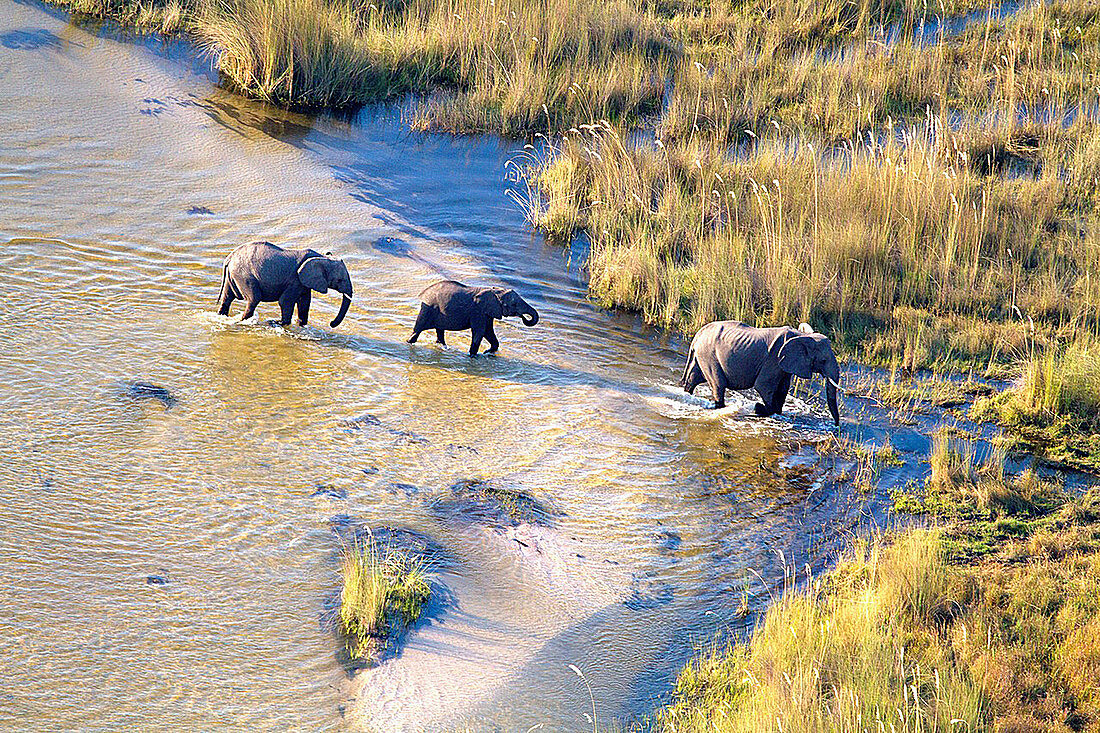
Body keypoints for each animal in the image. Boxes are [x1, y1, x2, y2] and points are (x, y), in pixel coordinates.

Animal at [214, 239, 352, 325]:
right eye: (339, 280)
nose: (331, 323)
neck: (322, 257)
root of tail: (229, 258)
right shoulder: (295, 280)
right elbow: (285, 301)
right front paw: (278, 323)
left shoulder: (304, 283)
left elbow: (304, 302)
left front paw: (301, 324)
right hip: (244, 276)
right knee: (253, 299)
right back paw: (242, 321)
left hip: (234, 275)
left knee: (227, 297)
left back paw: (222, 316)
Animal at [407, 278, 539, 354]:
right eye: (514, 304)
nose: (523, 317)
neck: (494, 291)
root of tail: (424, 292)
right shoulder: (478, 311)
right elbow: (480, 331)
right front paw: (473, 355)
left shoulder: (487, 312)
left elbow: (488, 331)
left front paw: (488, 352)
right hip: (429, 308)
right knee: (418, 330)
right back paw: (409, 342)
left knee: (439, 330)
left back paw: (442, 346)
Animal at [677, 319, 840, 422]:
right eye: (823, 360)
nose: (836, 426)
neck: (804, 336)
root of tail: (697, 335)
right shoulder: (774, 359)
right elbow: (764, 387)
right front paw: (759, 408)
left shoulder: (785, 364)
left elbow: (782, 389)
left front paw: (774, 412)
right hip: (708, 355)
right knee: (718, 385)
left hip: (702, 355)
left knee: (694, 378)